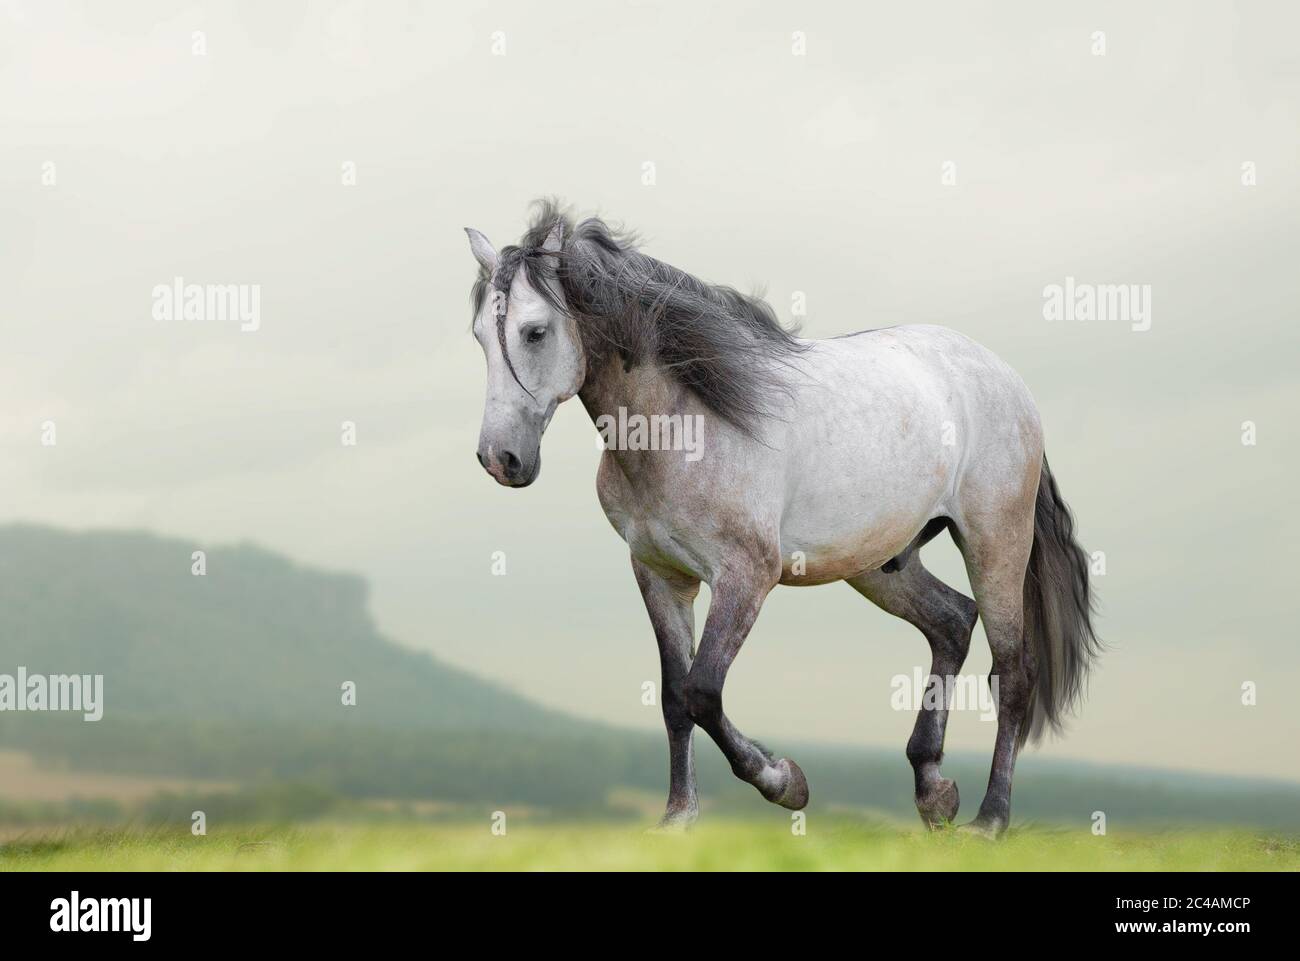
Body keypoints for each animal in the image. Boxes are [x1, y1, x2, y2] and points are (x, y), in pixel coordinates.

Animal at [465, 201, 1099, 838]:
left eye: (535, 331)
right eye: (479, 336)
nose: (500, 460)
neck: (685, 421)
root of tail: (1008, 380)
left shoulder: (745, 576)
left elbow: (702, 690)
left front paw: (785, 782)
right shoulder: (659, 575)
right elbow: (674, 699)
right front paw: (678, 818)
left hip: (995, 544)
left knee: (1014, 671)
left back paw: (989, 821)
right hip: (879, 564)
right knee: (952, 623)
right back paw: (935, 793)